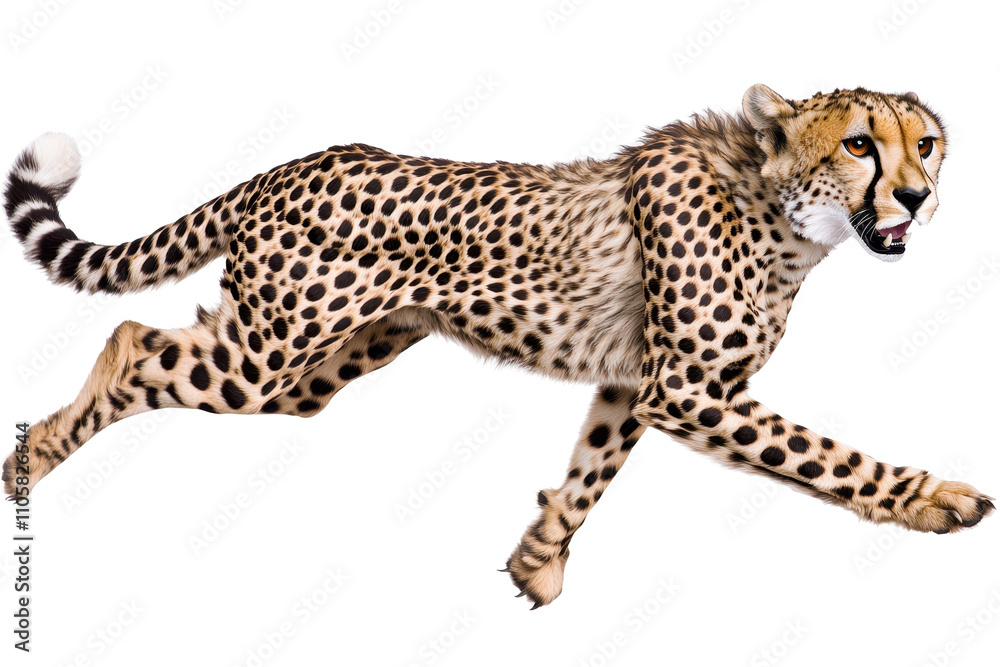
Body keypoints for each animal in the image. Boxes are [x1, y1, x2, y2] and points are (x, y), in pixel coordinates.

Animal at [3, 84, 993, 609]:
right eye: (861, 143)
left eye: (926, 144)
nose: (915, 197)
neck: (779, 212)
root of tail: (284, 167)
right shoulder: (688, 388)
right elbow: (824, 455)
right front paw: (933, 499)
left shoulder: (637, 382)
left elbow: (594, 467)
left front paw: (539, 555)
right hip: (269, 353)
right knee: (132, 341)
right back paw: (31, 459)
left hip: (314, 365)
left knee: (147, 337)